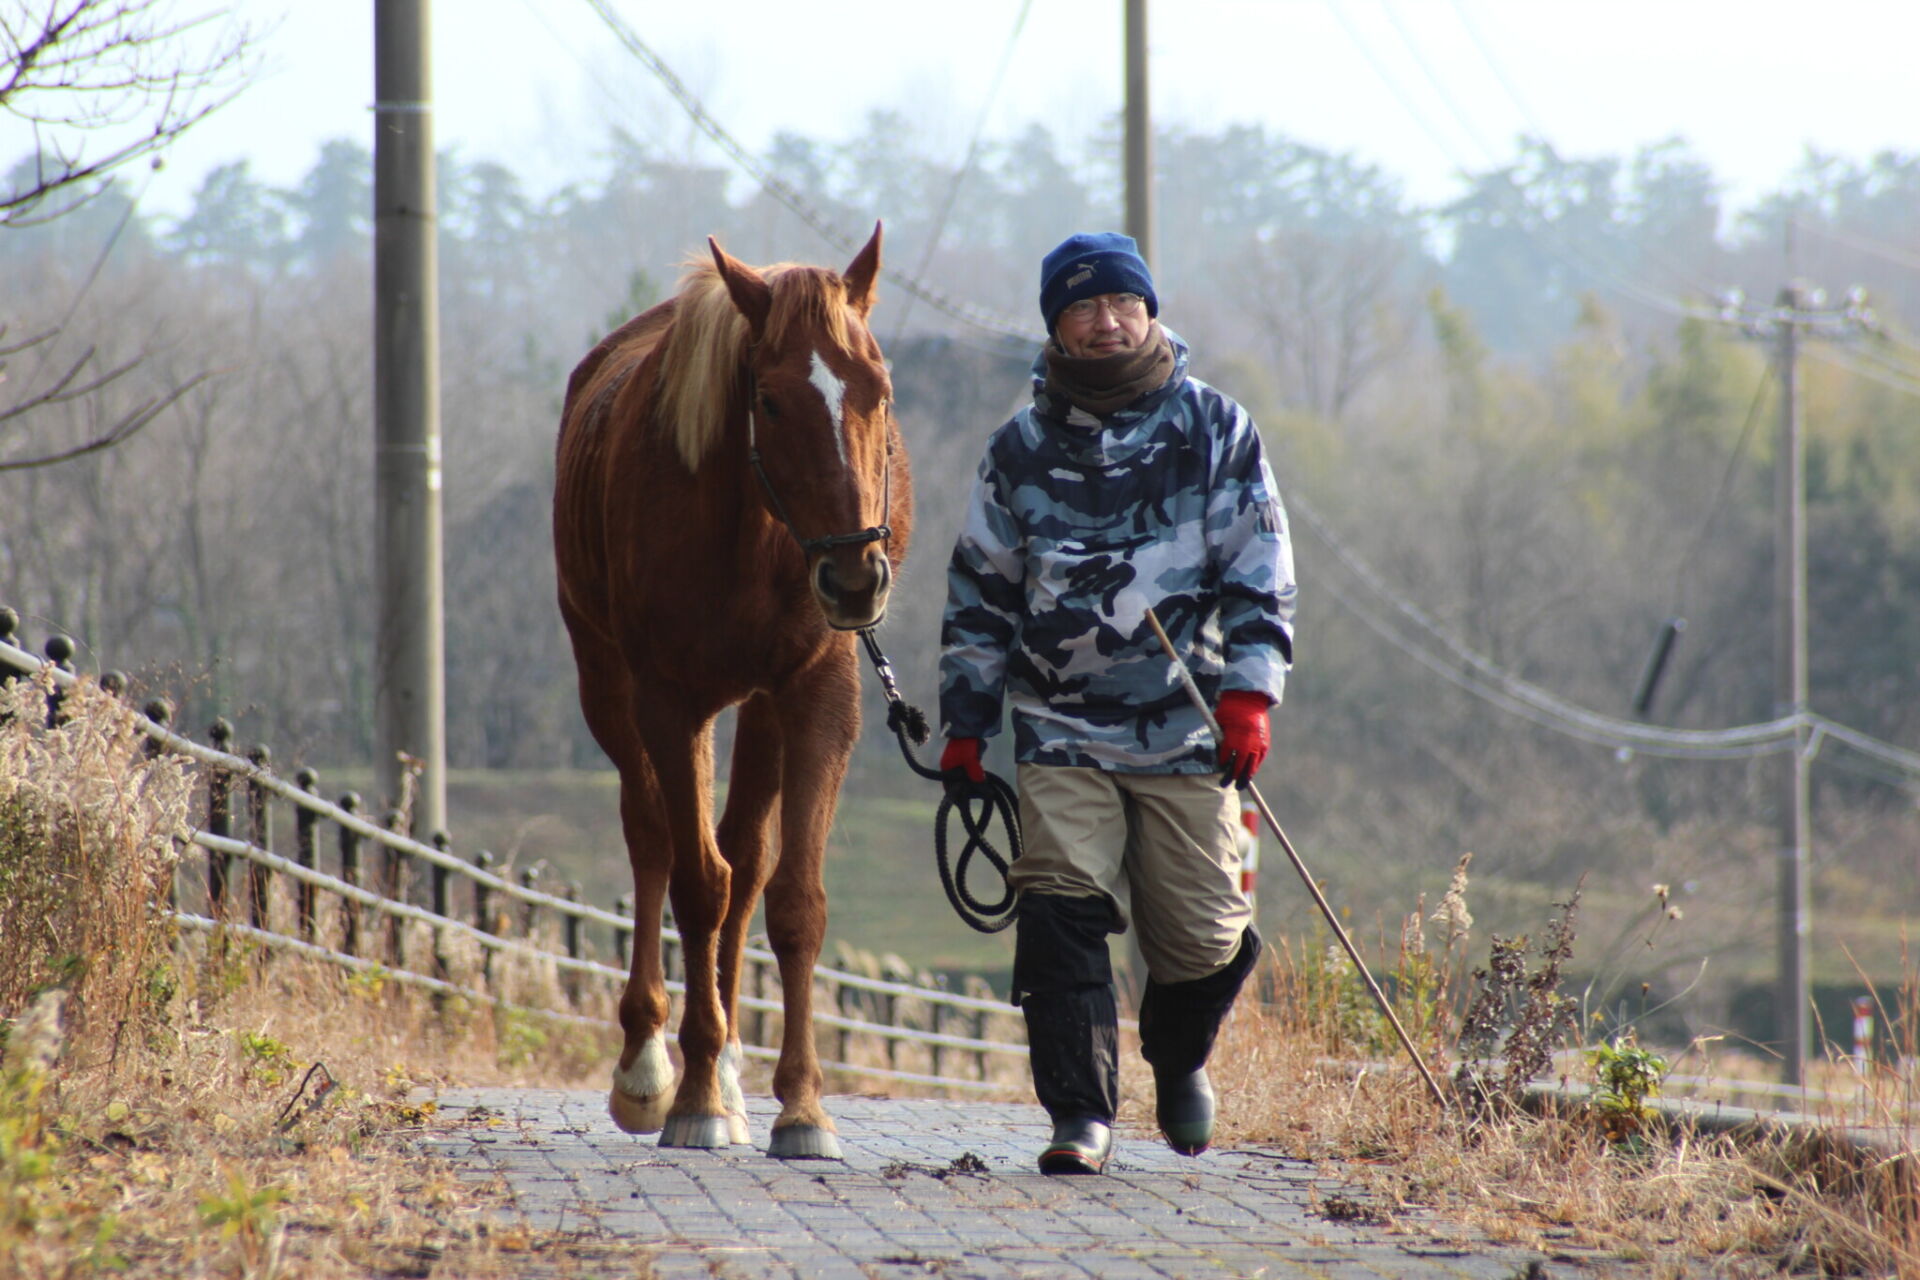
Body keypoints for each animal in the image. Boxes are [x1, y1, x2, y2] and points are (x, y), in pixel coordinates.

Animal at [552, 230, 910, 1159]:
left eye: (880, 390)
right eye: (772, 402)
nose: (855, 578)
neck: (749, 533)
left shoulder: (817, 692)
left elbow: (791, 898)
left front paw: (803, 1104)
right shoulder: (665, 700)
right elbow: (693, 882)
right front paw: (694, 1093)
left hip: (759, 709)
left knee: (745, 859)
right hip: (607, 683)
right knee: (653, 839)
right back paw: (650, 1062)